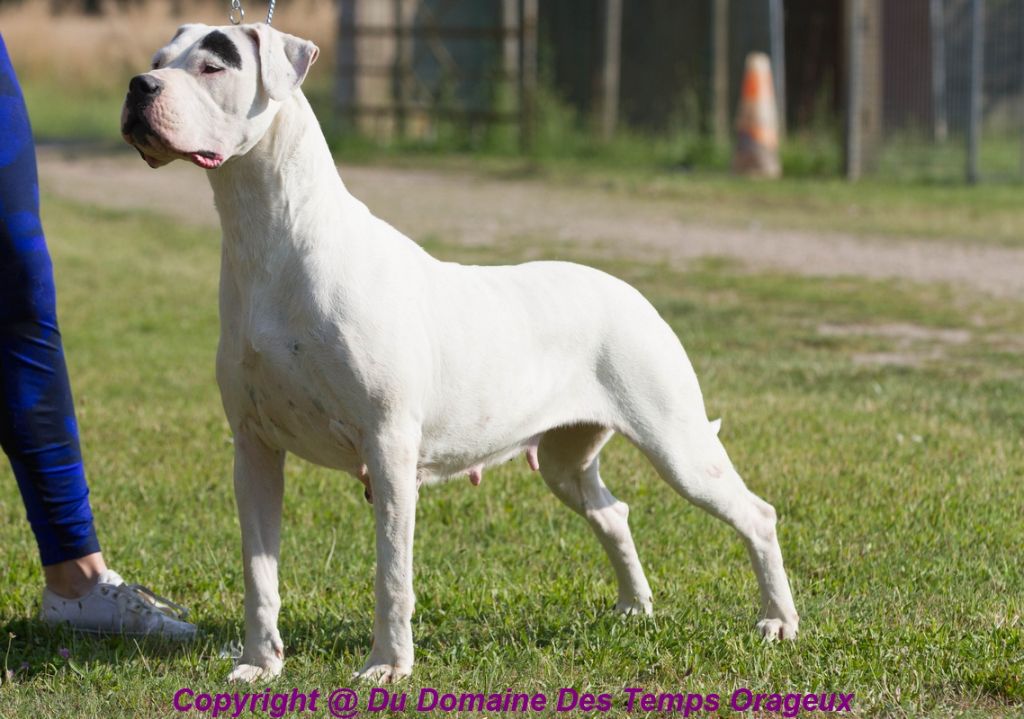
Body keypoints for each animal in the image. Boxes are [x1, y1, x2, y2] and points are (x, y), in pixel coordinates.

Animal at [121, 23, 798, 688]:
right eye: (158, 58)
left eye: (214, 65)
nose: (138, 85)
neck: (266, 235)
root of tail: (632, 293)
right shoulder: (255, 447)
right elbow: (260, 573)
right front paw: (260, 665)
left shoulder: (389, 446)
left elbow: (392, 575)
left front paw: (387, 666)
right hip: (566, 460)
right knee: (613, 512)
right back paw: (635, 607)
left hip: (676, 441)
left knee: (756, 514)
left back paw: (778, 622)